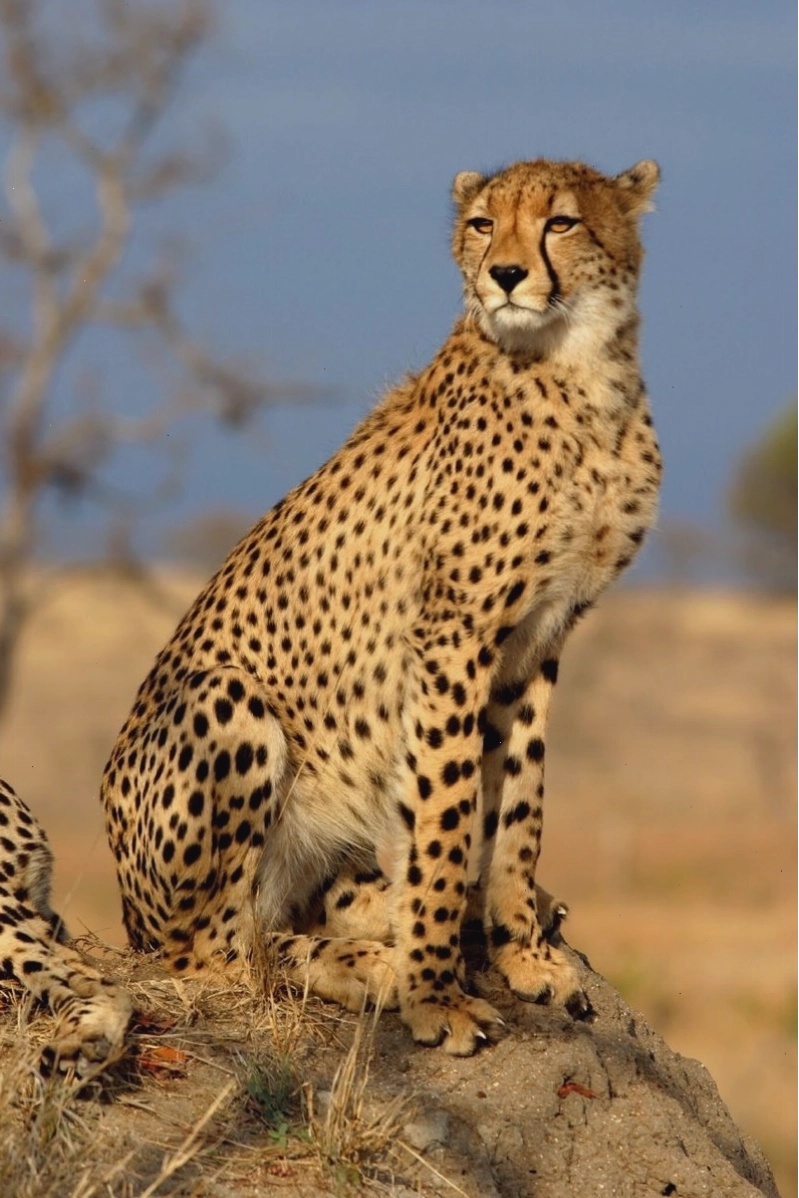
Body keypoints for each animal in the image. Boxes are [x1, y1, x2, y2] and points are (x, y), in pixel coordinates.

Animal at [97, 155, 662, 1057]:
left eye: (561, 222)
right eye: (481, 223)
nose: (505, 275)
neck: (580, 372)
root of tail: (126, 913)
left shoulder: (537, 639)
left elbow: (518, 806)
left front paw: (522, 952)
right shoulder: (452, 635)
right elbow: (446, 811)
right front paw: (435, 995)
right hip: (226, 702)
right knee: (224, 957)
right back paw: (373, 965)